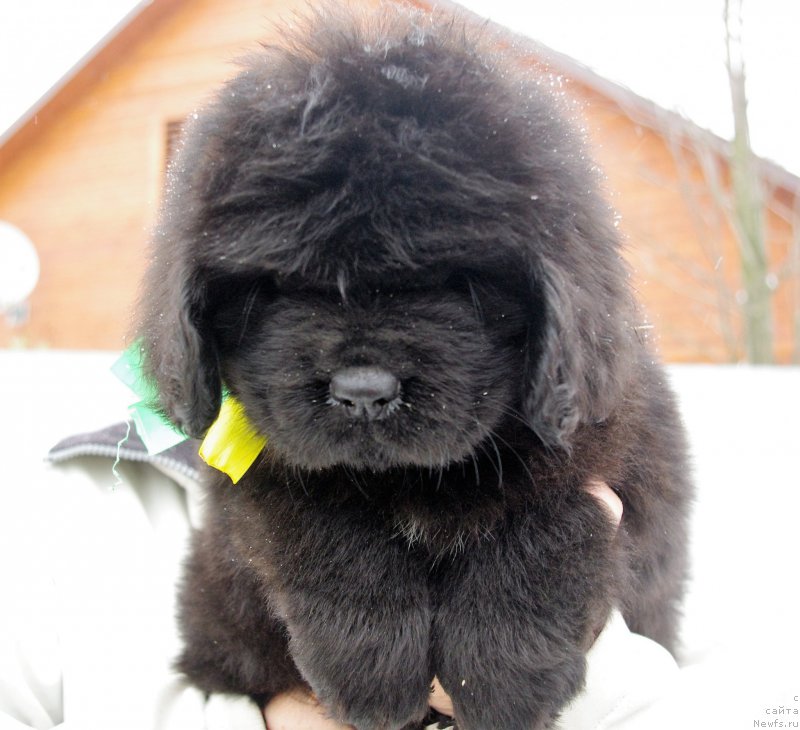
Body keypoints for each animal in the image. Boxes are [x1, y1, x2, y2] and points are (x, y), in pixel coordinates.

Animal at [134, 7, 692, 728]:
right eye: (277, 285)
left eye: (460, 280)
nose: (363, 393)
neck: (412, 480)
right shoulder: (259, 483)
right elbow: (325, 531)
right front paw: (372, 673)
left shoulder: (610, 457)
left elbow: (546, 526)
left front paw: (504, 683)